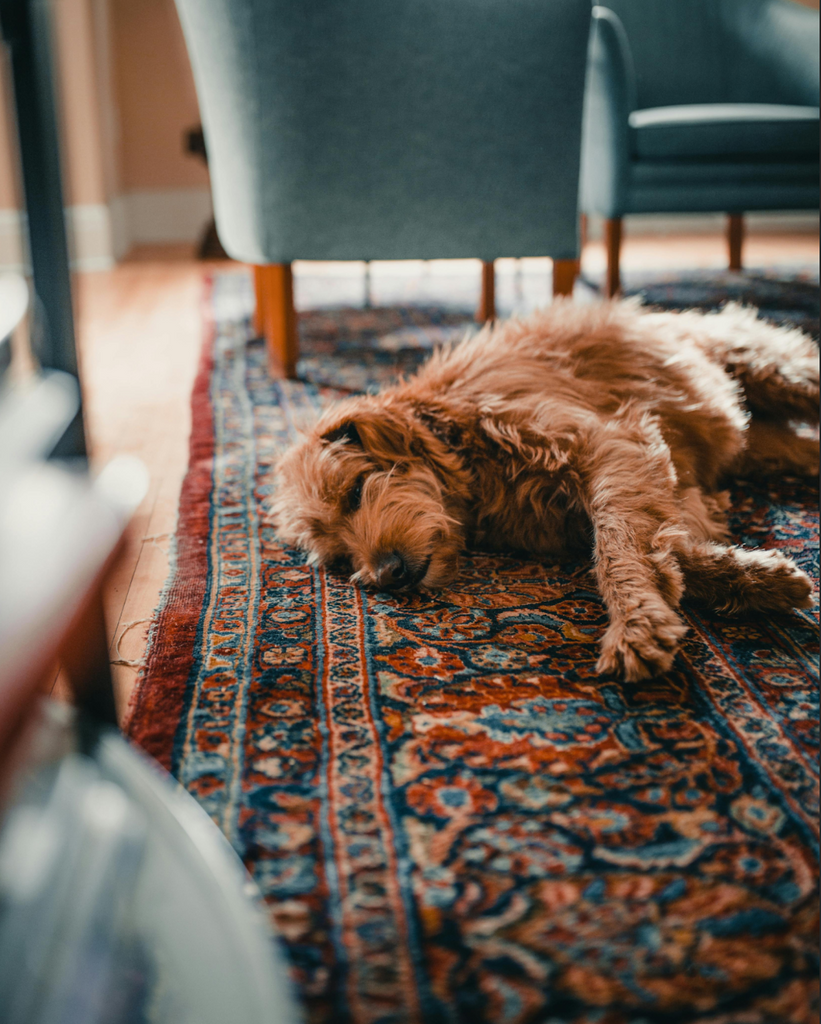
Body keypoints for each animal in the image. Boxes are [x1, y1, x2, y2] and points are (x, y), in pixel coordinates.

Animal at [272, 299, 814, 679]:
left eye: (355, 492)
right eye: (339, 558)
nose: (387, 575)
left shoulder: (613, 445)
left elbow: (619, 548)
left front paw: (634, 623)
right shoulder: (652, 493)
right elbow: (670, 548)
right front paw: (760, 579)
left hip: (776, 372)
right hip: (767, 444)